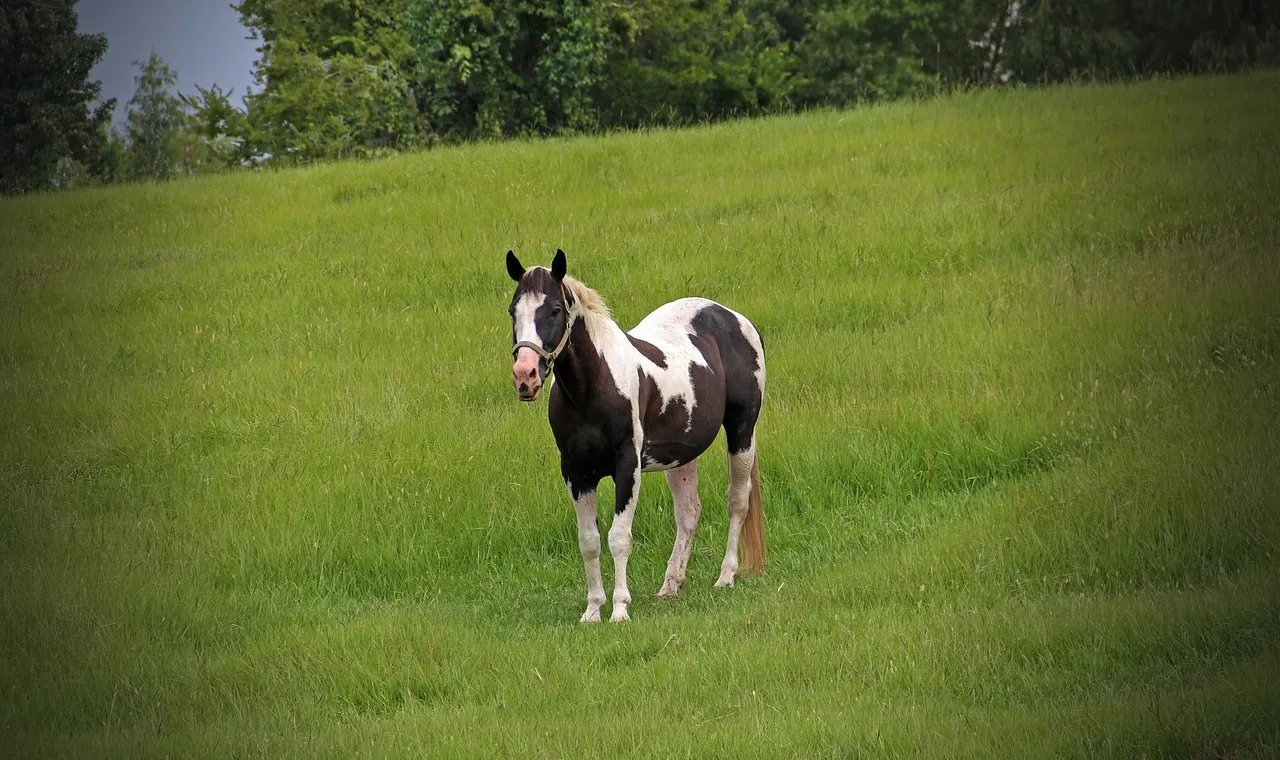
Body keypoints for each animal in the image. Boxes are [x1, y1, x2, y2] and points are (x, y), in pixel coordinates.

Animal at [505, 249, 766, 623]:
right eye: (514, 310)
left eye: (554, 309)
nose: (525, 376)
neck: (594, 387)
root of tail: (735, 318)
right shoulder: (575, 472)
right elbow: (589, 540)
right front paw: (592, 610)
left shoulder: (627, 467)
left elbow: (619, 538)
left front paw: (619, 609)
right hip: (682, 454)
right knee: (689, 512)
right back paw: (670, 585)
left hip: (742, 431)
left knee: (737, 500)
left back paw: (726, 575)